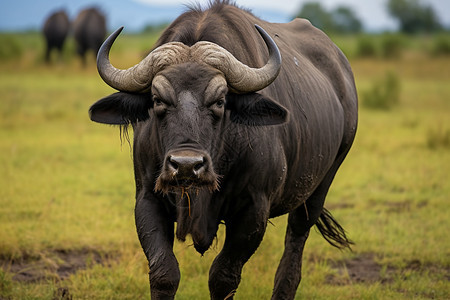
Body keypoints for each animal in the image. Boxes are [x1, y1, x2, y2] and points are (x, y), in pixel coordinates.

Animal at [89, 1, 358, 298]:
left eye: (219, 101)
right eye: (158, 100)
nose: (186, 165)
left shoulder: (254, 211)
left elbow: (223, 277)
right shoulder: (147, 199)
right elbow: (164, 274)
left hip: (322, 182)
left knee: (296, 241)